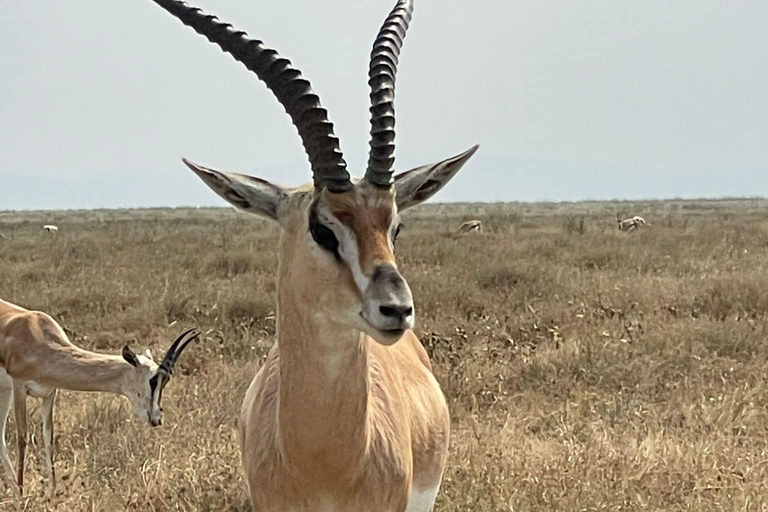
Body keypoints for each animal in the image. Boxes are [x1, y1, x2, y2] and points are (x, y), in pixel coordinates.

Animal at [0, 298, 198, 494]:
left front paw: (53, 492)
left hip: (5, 391)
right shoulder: (19, 387)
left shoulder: (50, 393)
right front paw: (22, 493)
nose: (157, 418)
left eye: (166, 380)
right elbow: (22, 437)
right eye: (153, 380)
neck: (38, 337)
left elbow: (48, 438)